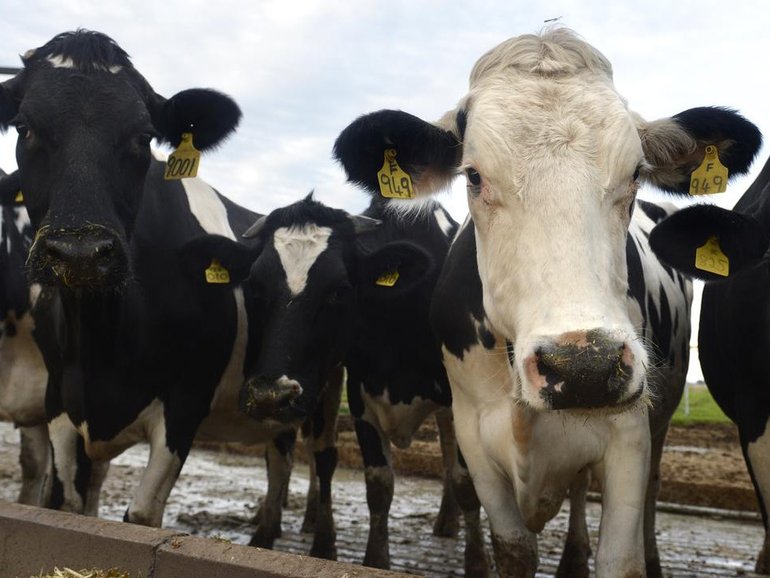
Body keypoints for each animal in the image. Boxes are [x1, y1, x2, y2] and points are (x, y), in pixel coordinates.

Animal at [0, 29, 338, 559]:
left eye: (143, 137)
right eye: (24, 127)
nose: (80, 252)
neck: (104, 341)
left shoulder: (185, 404)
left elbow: (140, 517)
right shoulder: (58, 401)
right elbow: (68, 505)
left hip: (330, 388)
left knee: (323, 460)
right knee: (279, 454)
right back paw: (263, 534)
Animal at [188, 193, 490, 573]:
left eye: (339, 290)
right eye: (255, 286)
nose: (270, 395)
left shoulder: (464, 398)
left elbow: (468, 483)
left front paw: (478, 563)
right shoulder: (360, 398)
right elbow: (378, 484)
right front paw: (375, 560)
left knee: (450, 448)